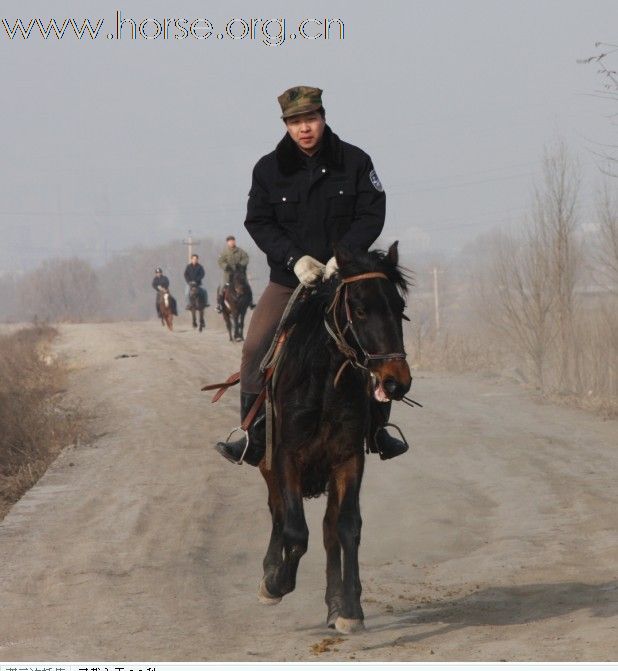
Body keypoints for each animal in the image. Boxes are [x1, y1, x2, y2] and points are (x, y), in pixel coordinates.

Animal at [255, 243, 410, 636]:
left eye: (399, 307)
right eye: (359, 308)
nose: (396, 381)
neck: (324, 380)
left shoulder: (348, 458)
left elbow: (347, 528)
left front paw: (350, 608)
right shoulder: (286, 457)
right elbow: (295, 530)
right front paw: (278, 582)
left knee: (327, 529)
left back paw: (334, 601)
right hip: (267, 464)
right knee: (278, 512)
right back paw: (270, 576)